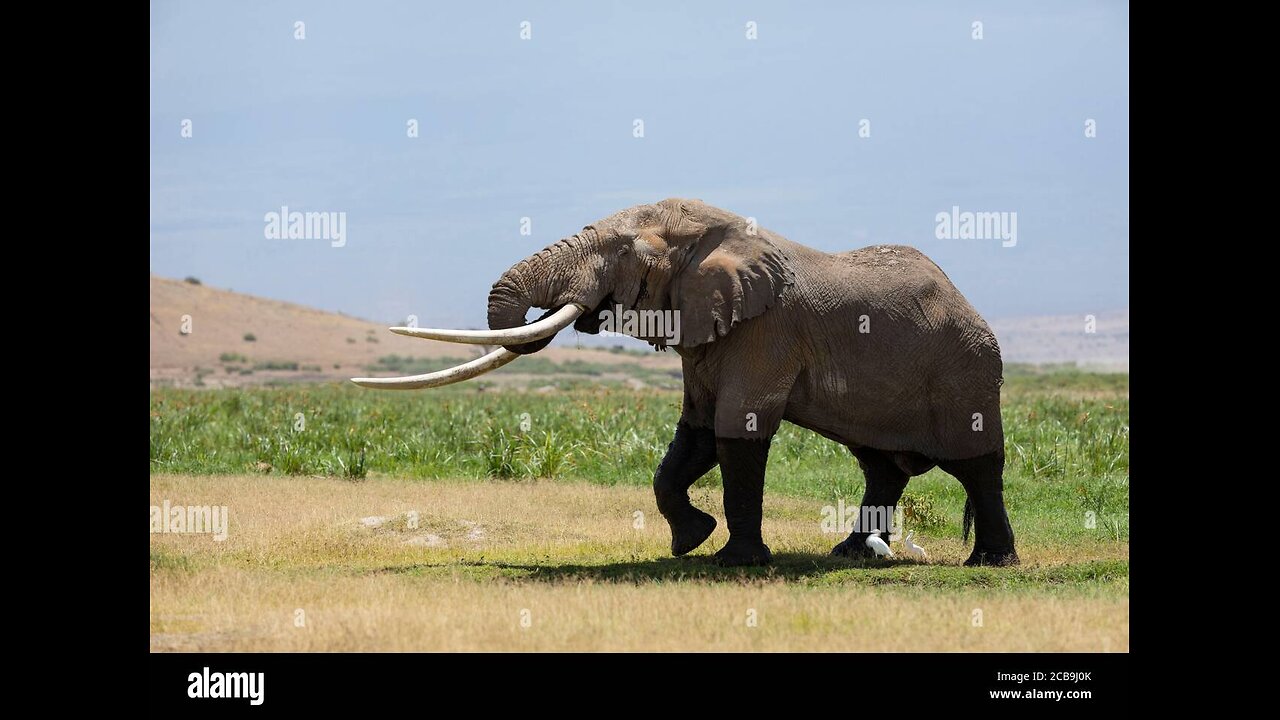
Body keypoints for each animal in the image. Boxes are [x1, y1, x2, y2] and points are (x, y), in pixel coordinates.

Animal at [353, 197, 1018, 566]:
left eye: (625, 252)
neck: (725, 231)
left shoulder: (766, 331)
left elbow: (737, 432)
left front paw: (734, 562)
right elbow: (693, 438)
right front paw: (689, 542)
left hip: (967, 372)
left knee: (979, 465)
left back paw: (991, 562)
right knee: (880, 466)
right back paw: (849, 554)